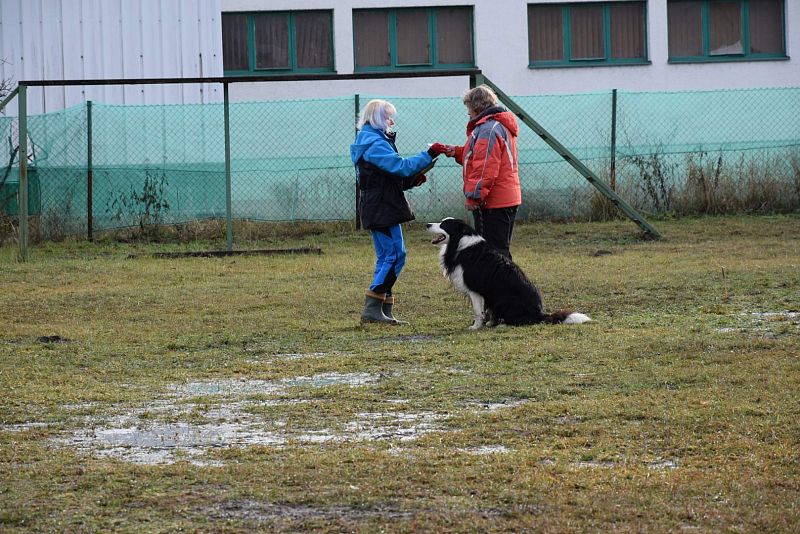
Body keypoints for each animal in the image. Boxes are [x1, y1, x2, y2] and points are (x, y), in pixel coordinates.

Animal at [428, 219, 592, 330]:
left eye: (443, 225)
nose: (427, 225)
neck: (460, 242)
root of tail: (539, 313)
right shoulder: (489, 293)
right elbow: (488, 309)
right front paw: (489, 323)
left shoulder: (475, 289)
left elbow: (478, 311)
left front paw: (476, 326)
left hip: (507, 301)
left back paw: (505, 325)